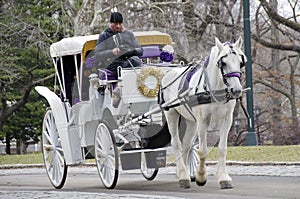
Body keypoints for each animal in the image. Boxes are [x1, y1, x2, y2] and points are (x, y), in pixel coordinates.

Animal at [162, 37, 246, 188]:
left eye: (240, 62)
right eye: (223, 63)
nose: (236, 90)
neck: (214, 89)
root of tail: (168, 73)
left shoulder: (227, 120)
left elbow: (222, 148)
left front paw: (223, 177)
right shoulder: (203, 121)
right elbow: (202, 150)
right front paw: (201, 176)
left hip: (191, 121)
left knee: (186, 144)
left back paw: (183, 173)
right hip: (171, 113)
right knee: (176, 143)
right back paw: (183, 175)